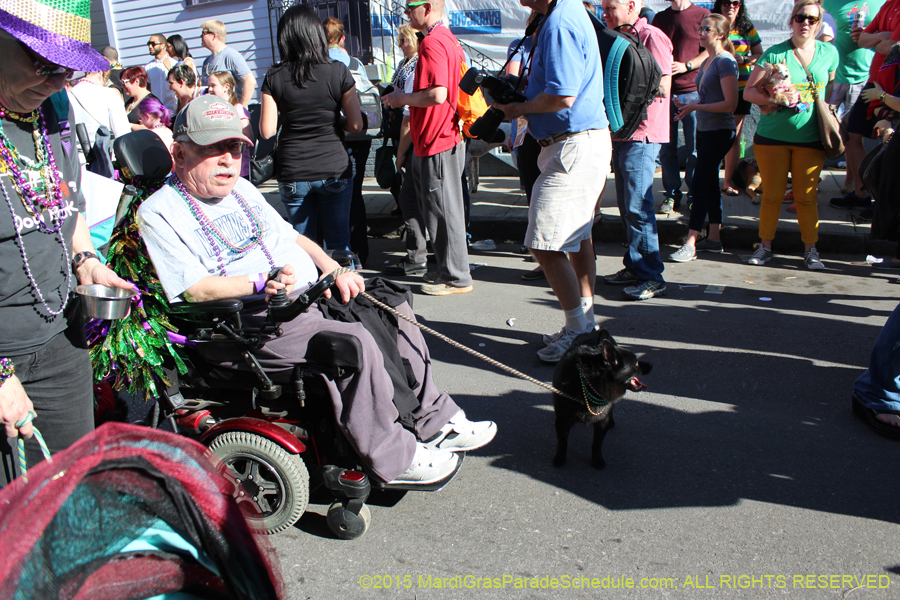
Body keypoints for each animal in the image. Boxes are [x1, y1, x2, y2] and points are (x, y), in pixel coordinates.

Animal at [552, 328, 652, 468]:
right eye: (636, 364)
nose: (651, 365)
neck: (589, 383)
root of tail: (593, 332)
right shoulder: (562, 420)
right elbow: (562, 441)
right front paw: (560, 457)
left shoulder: (602, 422)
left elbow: (597, 444)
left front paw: (597, 459)